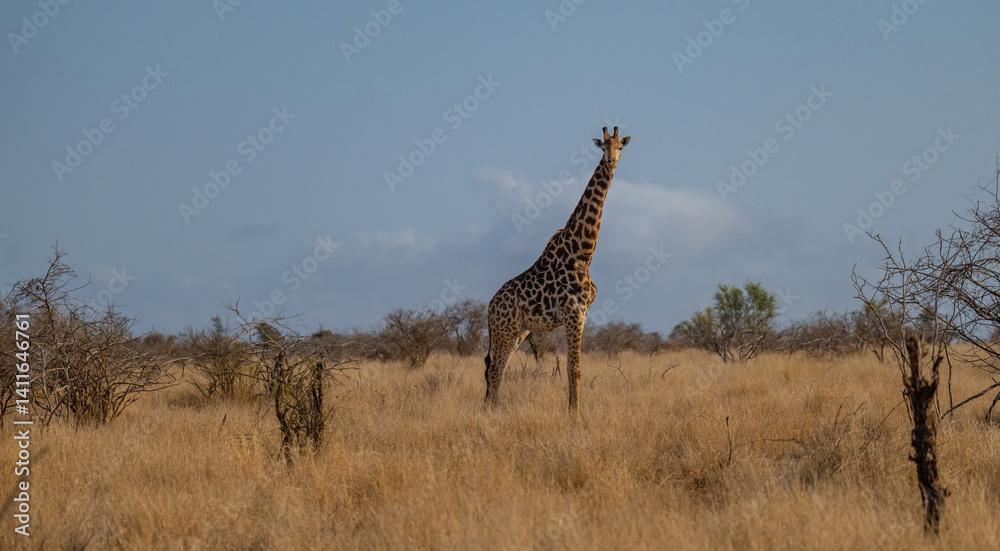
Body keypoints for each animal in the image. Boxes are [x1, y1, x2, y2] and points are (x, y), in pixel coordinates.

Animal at [485, 126, 630, 412]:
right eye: (603, 146)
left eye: (621, 146)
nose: (611, 161)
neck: (583, 253)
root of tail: (489, 308)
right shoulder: (574, 314)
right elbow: (574, 369)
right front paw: (574, 415)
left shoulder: (583, 314)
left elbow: (575, 368)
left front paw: (574, 412)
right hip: (505, 330)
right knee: (494, 370)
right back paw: (489, 414)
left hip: (517, 330)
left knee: (498, 367)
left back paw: (493, 410)